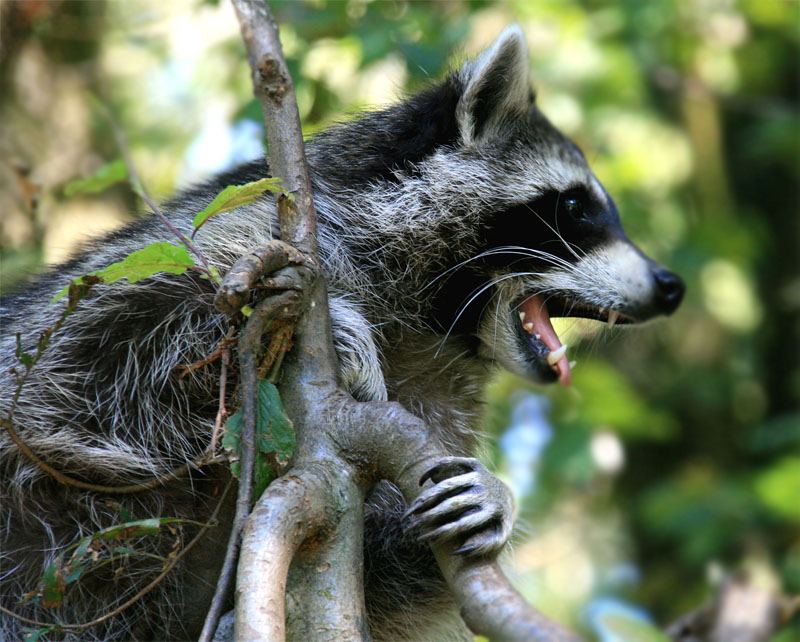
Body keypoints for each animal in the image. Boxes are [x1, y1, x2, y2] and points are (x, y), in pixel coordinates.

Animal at [1, 26, 680, 640]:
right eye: (578, 207)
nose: (672, 284)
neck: (428, 325)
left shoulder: (435, 397)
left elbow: (399, 576)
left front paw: (496, 495)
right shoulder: (219, 239)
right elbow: (111, 341)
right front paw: (332, 326)